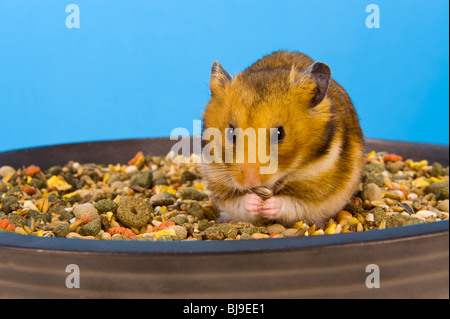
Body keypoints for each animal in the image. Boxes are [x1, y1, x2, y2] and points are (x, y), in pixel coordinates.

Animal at [202, 51, 364, 226]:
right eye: (231, 132)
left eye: (280, 134)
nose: (250, 182)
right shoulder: (218, 180)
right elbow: (239, 202)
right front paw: (255, 203)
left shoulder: (317, 189)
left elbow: (290, 203)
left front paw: (267, 206)